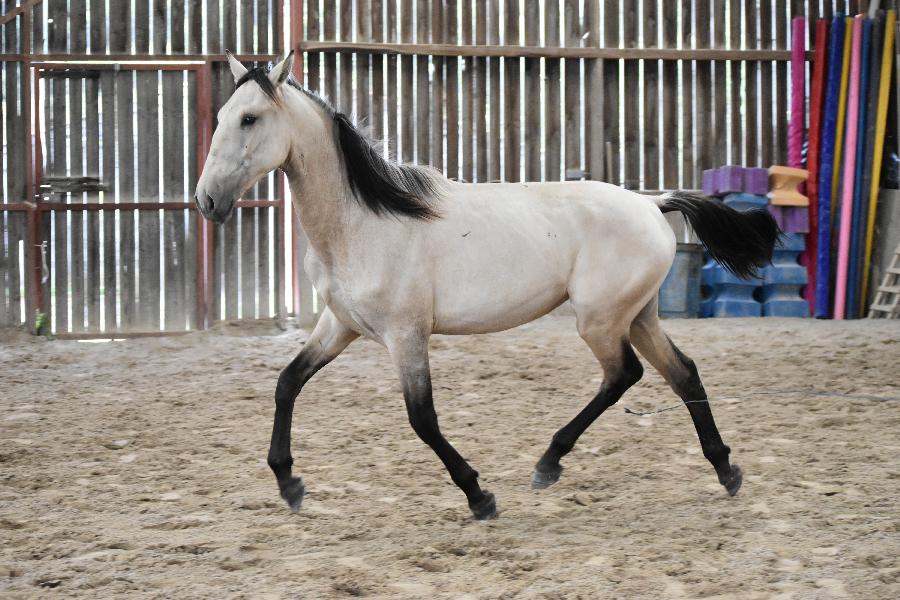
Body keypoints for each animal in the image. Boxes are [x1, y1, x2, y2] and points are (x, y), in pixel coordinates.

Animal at [197, 52, 780, 520]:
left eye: (249, 118)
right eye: (222, 116)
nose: (207, 200)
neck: (362, 222)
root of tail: (652, 204)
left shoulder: (406, 336)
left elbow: (422, 418)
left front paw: (479, 496)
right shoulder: (339, 325)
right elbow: (287, 383)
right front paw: (289, 484)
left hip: (600, 320)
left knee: (624, 375)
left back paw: (548, 464)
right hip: (638, 316)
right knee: (682, 373)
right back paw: (725, 471)